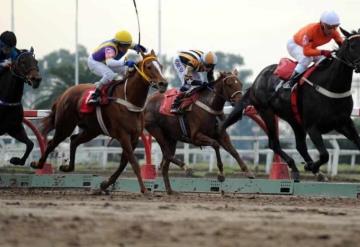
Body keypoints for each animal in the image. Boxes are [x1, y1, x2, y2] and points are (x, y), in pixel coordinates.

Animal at [30, 50, 168, 193]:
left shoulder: (134, 137)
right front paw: (144, 189)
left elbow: (123, 163)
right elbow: (133, 162)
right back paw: (38, 164)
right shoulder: (123, 135)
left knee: (74, 140)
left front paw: (105, 184)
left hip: (92, 130)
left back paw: (67, 167)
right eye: (149, 67)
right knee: (52, 143)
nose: (163, 84)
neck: (129, 102)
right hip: (65, 126)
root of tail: (64, 94)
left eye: (161, 66)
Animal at [221, 28, 360, 180]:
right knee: (274, 143)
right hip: (267, 112)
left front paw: (312, 167)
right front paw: (310, 166)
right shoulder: (313, 127)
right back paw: (295, 166)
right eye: (353, 46)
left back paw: (313, 170)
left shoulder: (344, 123)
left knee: (299, 146)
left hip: (295, 120)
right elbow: (324, 155)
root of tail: (257, 80)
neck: (331, 87)